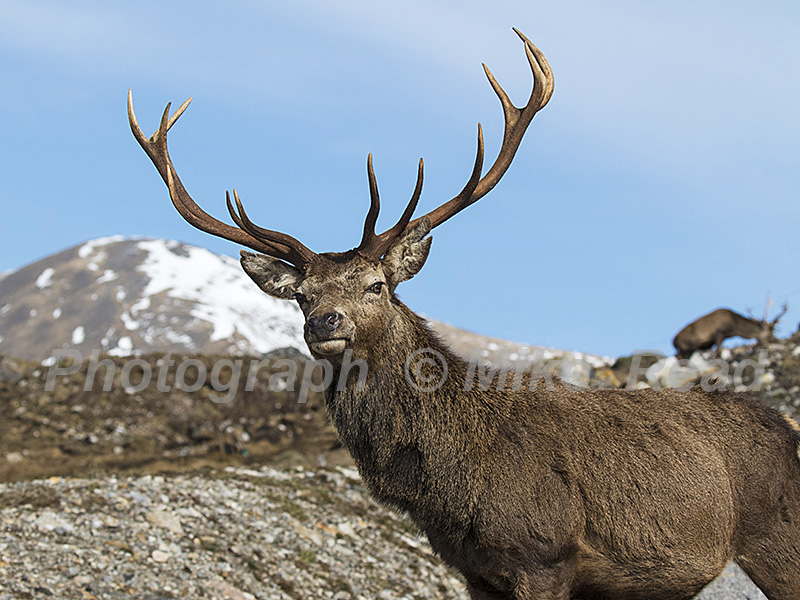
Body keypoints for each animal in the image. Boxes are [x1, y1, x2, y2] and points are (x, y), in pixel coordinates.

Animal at [128, 29, 800, 600]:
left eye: (377, 285)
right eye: (302, 295)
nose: (324, 324)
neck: (445, 489)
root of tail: (790, 431)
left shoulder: (545, 558)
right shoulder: (477, 573)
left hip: (779, 543)